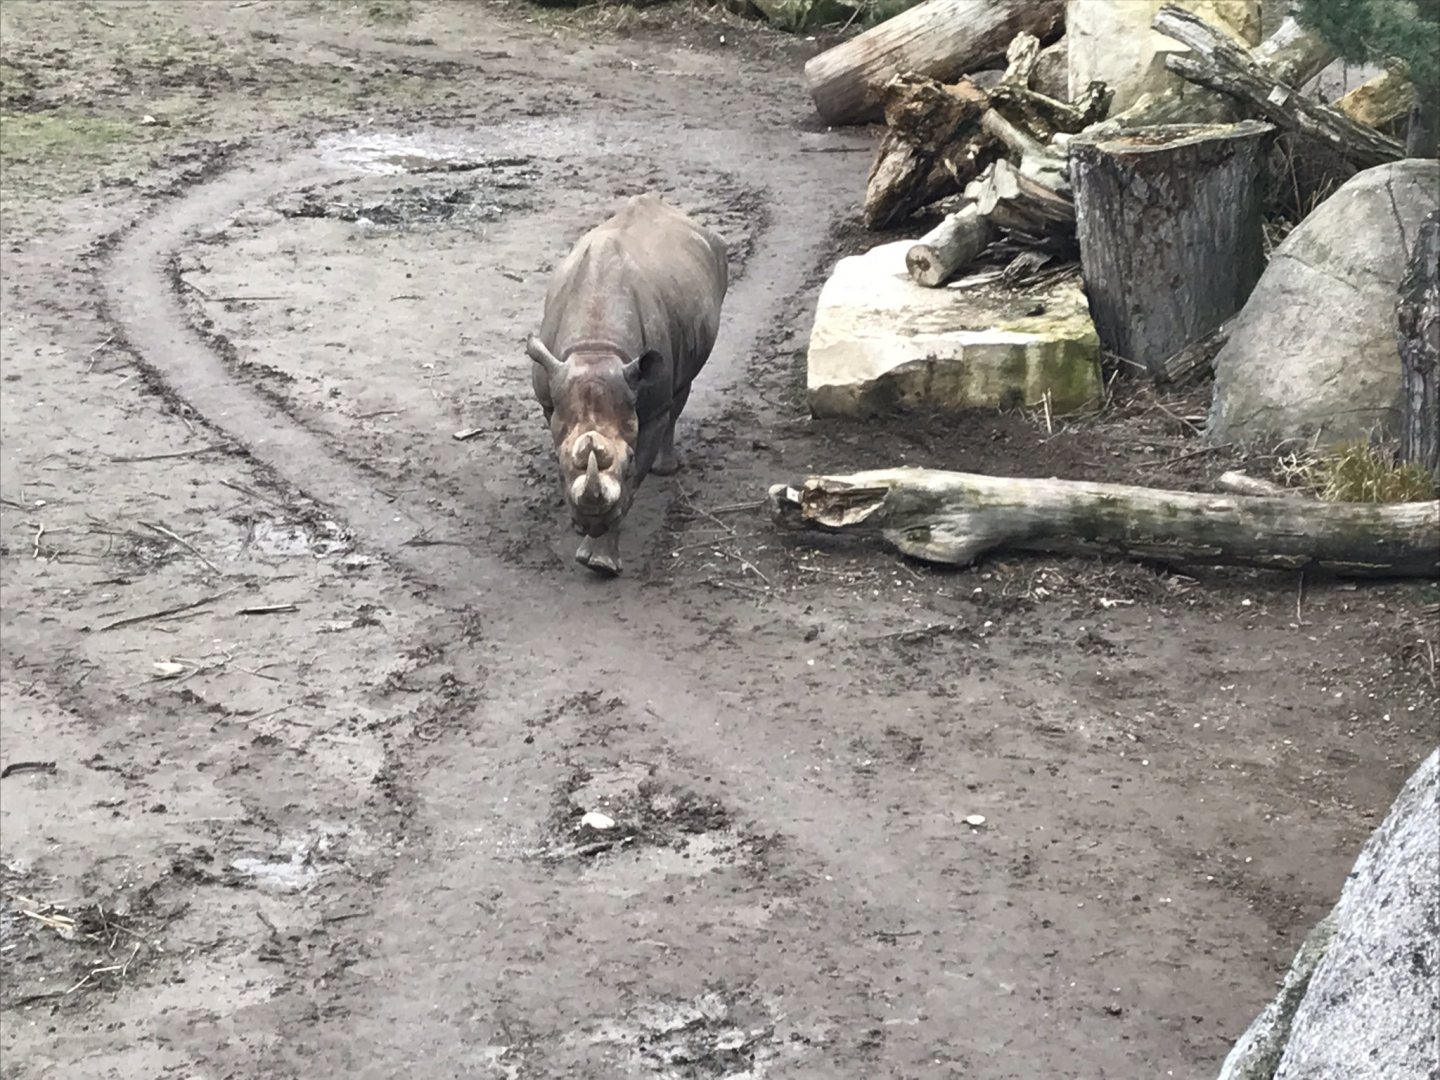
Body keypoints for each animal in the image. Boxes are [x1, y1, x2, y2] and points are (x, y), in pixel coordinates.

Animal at [526, 193, 729, 576]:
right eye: (559, 463)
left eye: (630, 458)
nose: (589, 522)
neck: (596, 350)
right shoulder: (551, 399)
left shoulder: (648, 410)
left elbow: (632, 482)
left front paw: (600, 561)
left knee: (680, 391)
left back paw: (665, 470)